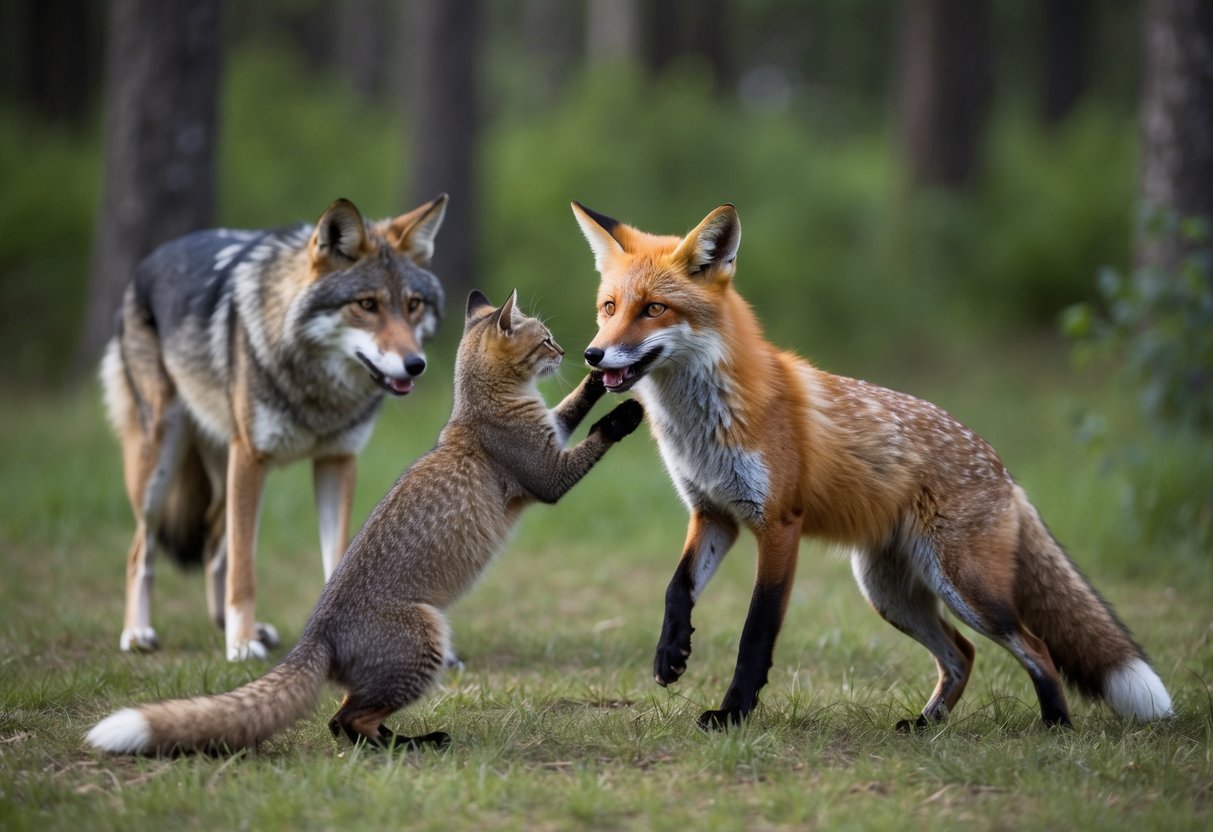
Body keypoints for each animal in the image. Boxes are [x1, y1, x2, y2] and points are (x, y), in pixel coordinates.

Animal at [87, 290, 645, 755]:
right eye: (545, 339)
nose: (570, 350)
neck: (480, 411)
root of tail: (316, 634)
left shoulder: (550, 434)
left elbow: (572, 406)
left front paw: (600, 380)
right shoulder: (546, 476)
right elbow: (593, 436)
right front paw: (624, 416)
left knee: (346, 721)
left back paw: (408, 741)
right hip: (427, 641)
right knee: (345, 721)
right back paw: (416, 744)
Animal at [100, 195, 447, 662]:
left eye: (413, 305)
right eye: (367, 305)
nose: (415, 364)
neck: (317, 393)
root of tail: (151, 259)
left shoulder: (337, 461)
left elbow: (335, 560)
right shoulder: (252, 458)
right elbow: (244, 570)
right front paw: (242, 644)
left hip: (219, 469)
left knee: (213, 542)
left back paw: (230, 627)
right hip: (160, 468)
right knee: (141, 551)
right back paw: (139, 633)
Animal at [571, 200, 1174, 731]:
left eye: (654, 309)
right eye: (609, 307)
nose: (592, 356)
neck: (703, 423)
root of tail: (1005, 470)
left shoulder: (778, 524)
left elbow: (755, 633)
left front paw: (733, 714)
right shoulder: (713, 513)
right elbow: (676, 588)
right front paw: (671, 654)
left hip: (966, 588)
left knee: (1037, 647)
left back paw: (1056, 725)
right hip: (889, 593)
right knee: (963, 655)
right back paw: (925, 725)